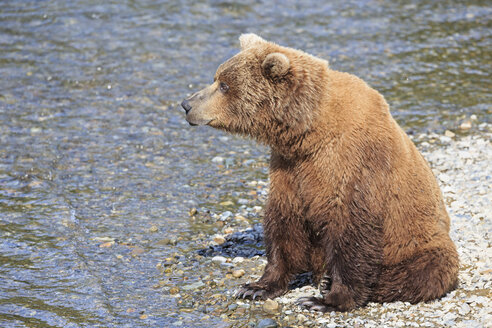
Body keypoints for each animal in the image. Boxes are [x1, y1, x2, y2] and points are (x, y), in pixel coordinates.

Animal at [181, 34, 458, 312]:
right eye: (217, 78)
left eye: (224, 85)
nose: (186, 104)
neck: (308, 131)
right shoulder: (290, 167)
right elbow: (283, 221)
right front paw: (255, 287)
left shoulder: (352, 163)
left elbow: (352, 229)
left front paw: (325, 300)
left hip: (422, 244)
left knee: (424, 271)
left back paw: (333, 283)